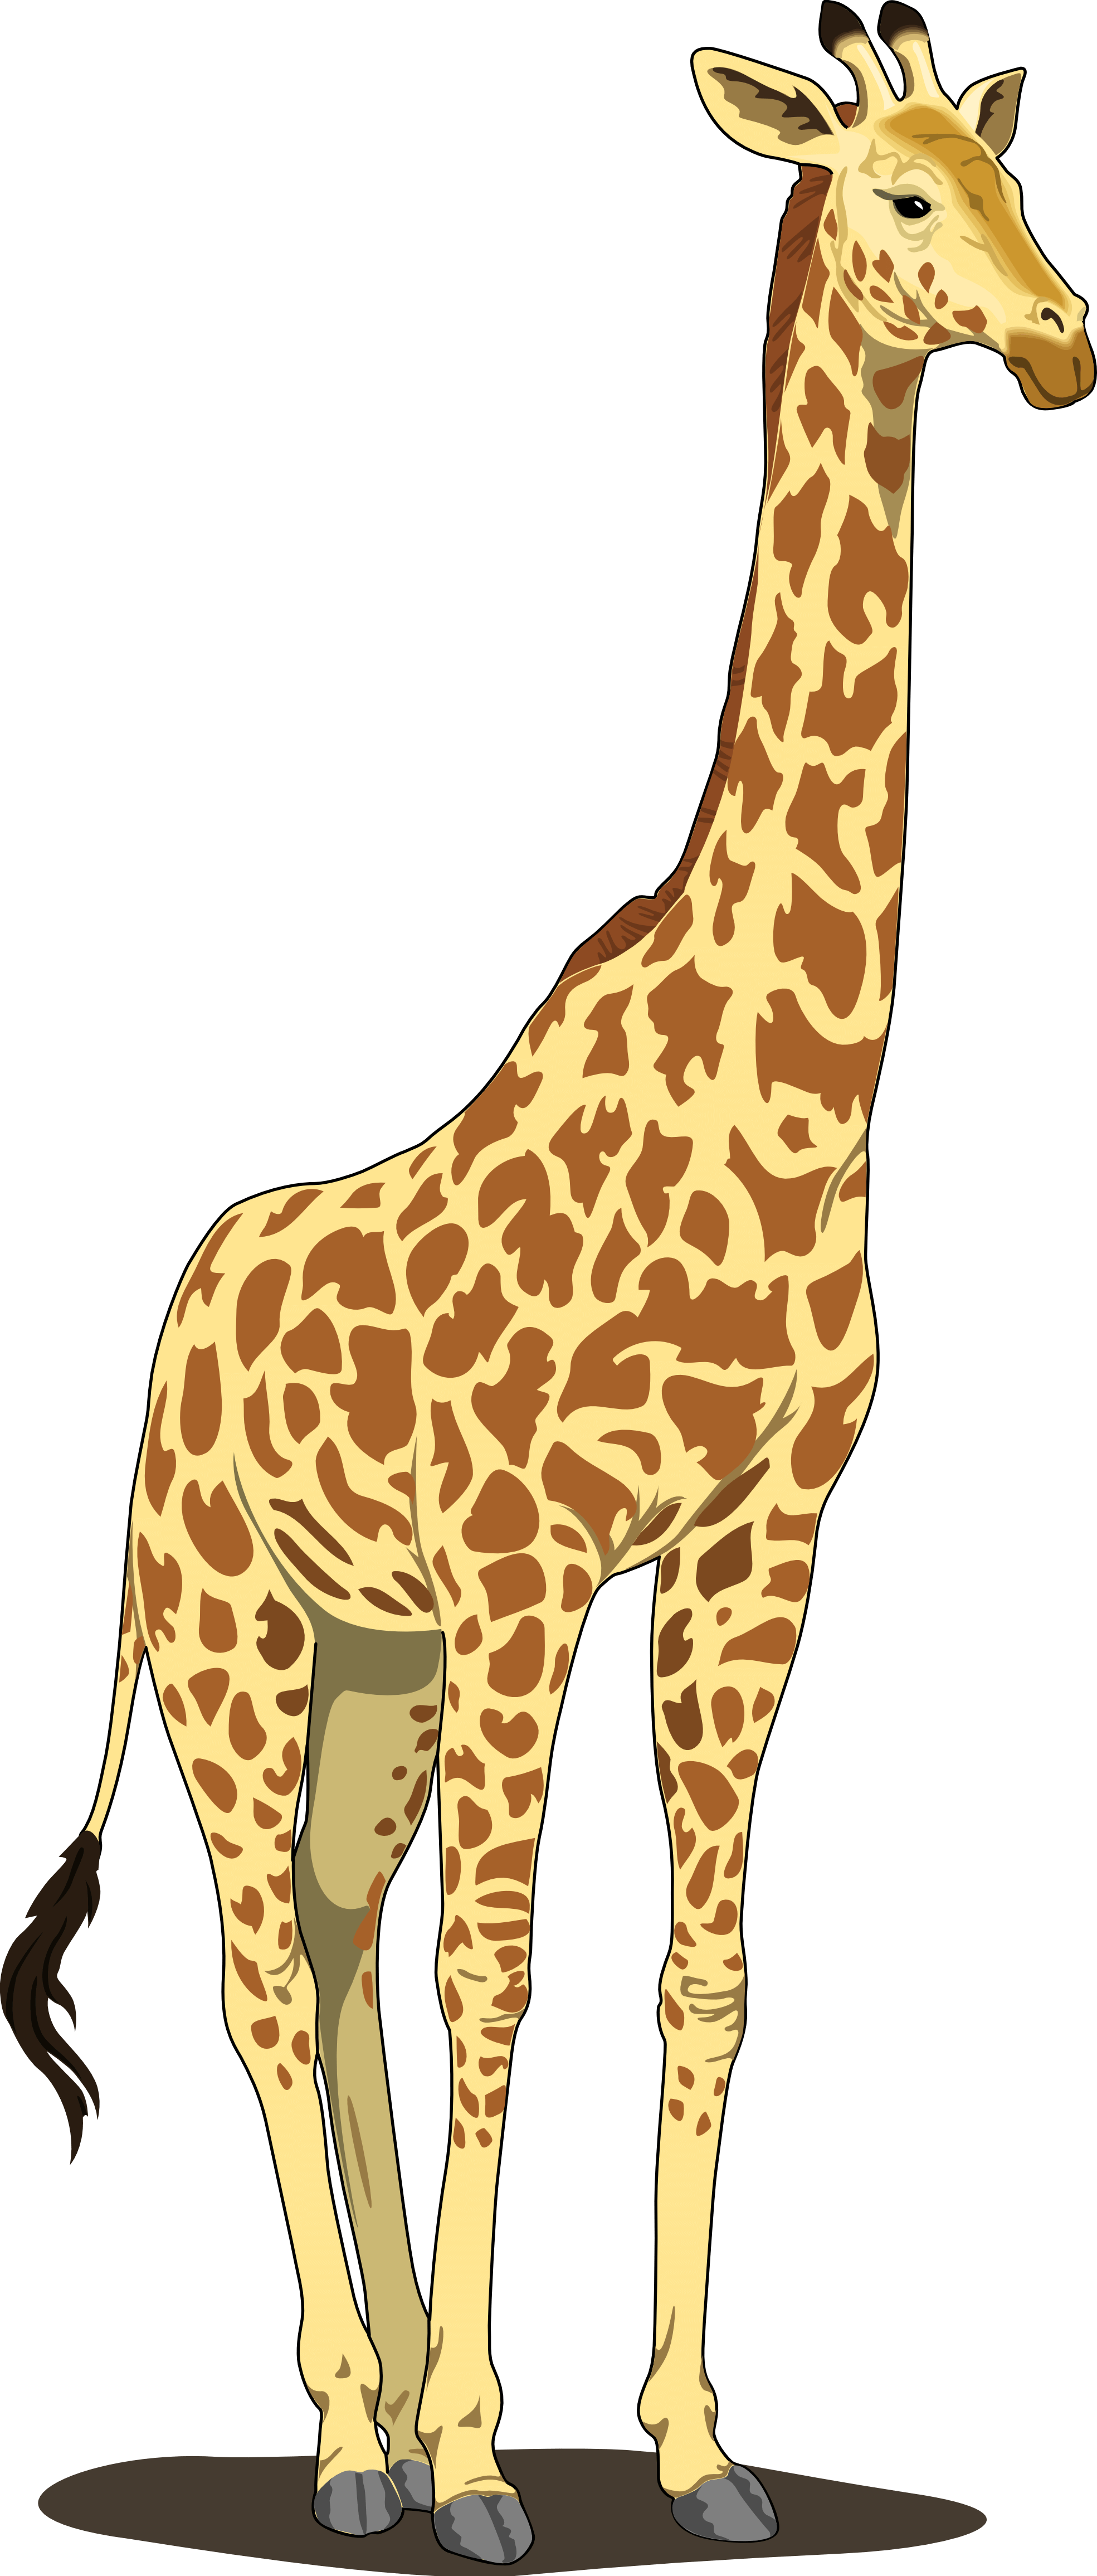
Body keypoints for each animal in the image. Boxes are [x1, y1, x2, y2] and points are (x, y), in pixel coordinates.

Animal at [3, 8, 1089, 2562]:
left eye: (1006, 176)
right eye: (899, 197)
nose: (1062, 338)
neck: (793, 1086)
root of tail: (177, 1316)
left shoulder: (753, 1544)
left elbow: (703, 1975)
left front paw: (690, 2450)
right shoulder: (528, 1560)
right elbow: (492, 1976)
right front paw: (500, 2457)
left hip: (372, 1662)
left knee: (326, 1943)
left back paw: (389, 2417)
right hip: (232, 1630)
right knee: (269, 1973)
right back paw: (359, 2438)